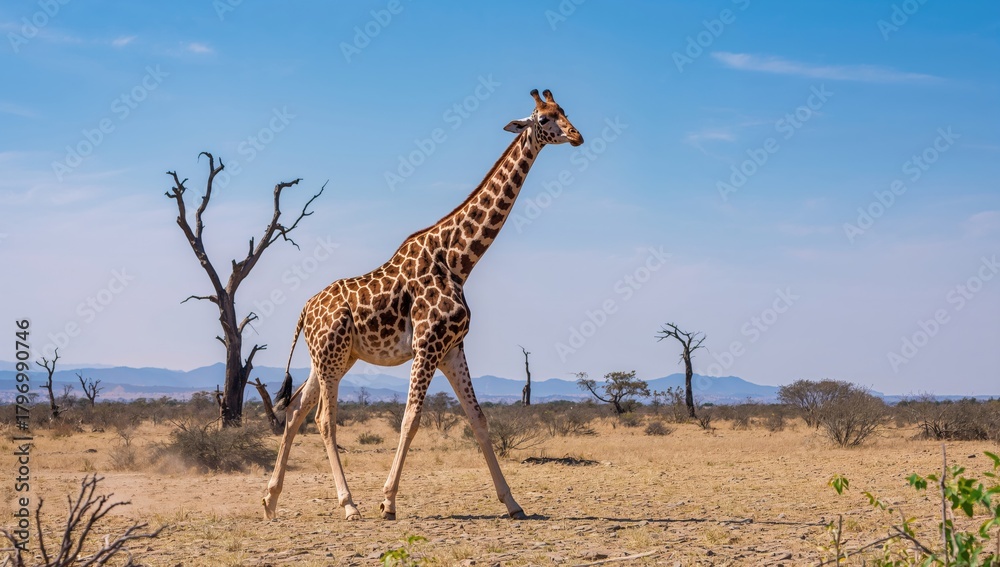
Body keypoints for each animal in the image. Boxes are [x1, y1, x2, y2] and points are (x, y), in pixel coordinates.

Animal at [262, 88, 583, 522]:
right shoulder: (427, 345)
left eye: (564, 111)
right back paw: (349, 505)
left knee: (296, 411)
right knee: (324, 419)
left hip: (332, 359)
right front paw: (388, 501)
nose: (577, 135)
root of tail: (303, 311)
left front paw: (514, 503)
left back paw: (270, 500)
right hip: (331, 358)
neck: (459, 260)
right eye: (544, 118)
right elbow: (410, 420)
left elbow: (479, 420)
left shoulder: (452, 349)